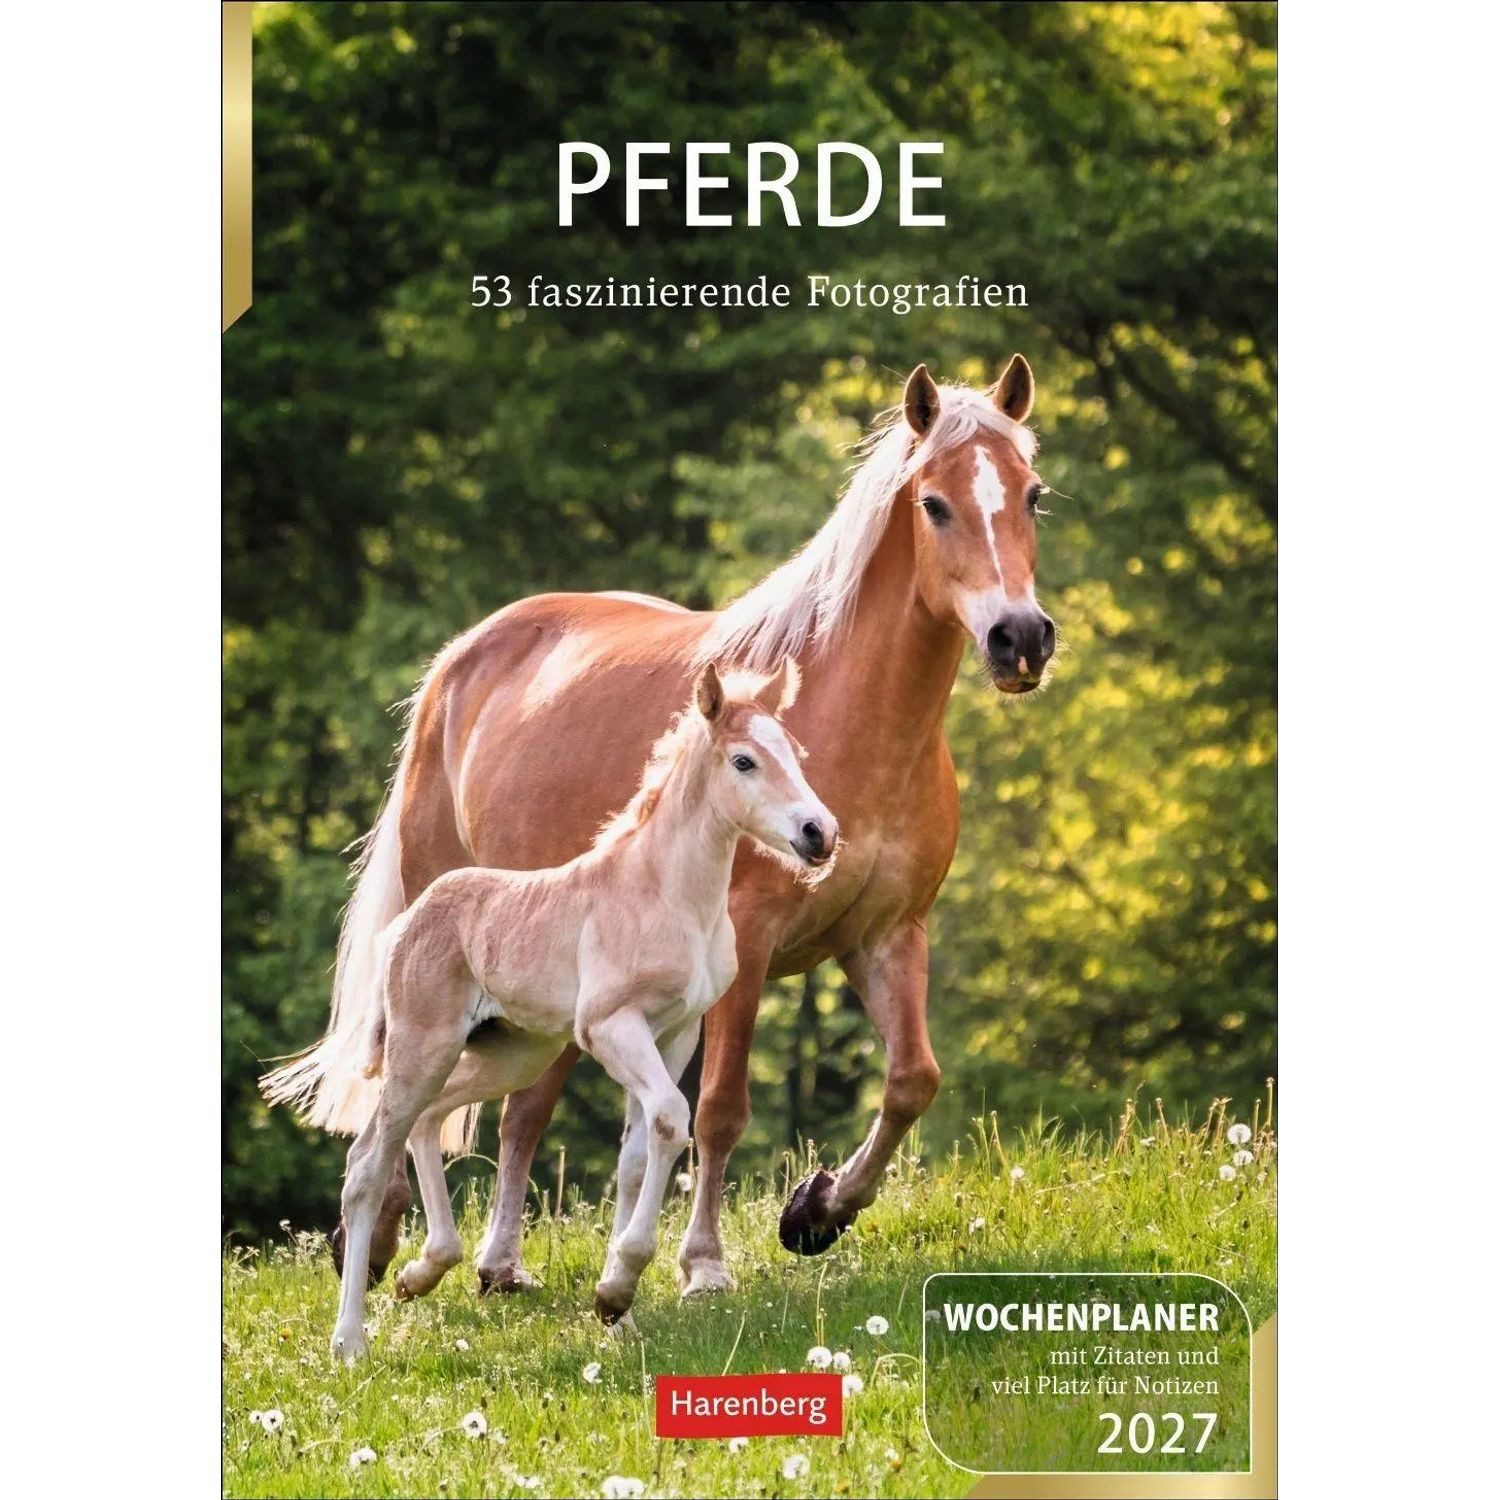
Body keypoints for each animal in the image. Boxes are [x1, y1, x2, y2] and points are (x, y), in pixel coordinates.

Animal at [311, 661, 835, 1358]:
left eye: (795, 754)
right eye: (744, 760)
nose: (819, 834)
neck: (666, 894)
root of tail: (404, 924)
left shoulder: (675, 1033)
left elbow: (639, 1153)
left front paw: (617, 1304)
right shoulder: (610, 1026)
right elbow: (673, 1117)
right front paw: (622, 1284)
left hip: (512, 1054)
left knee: (427, 1121)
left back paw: (423, 1271)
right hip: (424, 1046)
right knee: (366, 1163)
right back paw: (349, 1340)